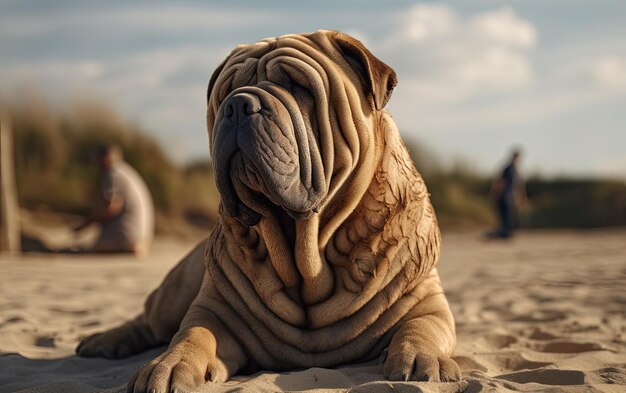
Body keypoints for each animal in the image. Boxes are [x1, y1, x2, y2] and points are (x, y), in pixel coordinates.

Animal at [77, 29, 458, 388]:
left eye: (298, 86)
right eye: (225, 93)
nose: (238, 105)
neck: (307, 254)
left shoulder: (425, 300)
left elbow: (422, 328)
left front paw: (421, 359)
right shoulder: (213, 309)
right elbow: (192, 335)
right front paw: (168, 366)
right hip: (176, 290)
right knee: (148, 320)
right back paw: (103, 341)